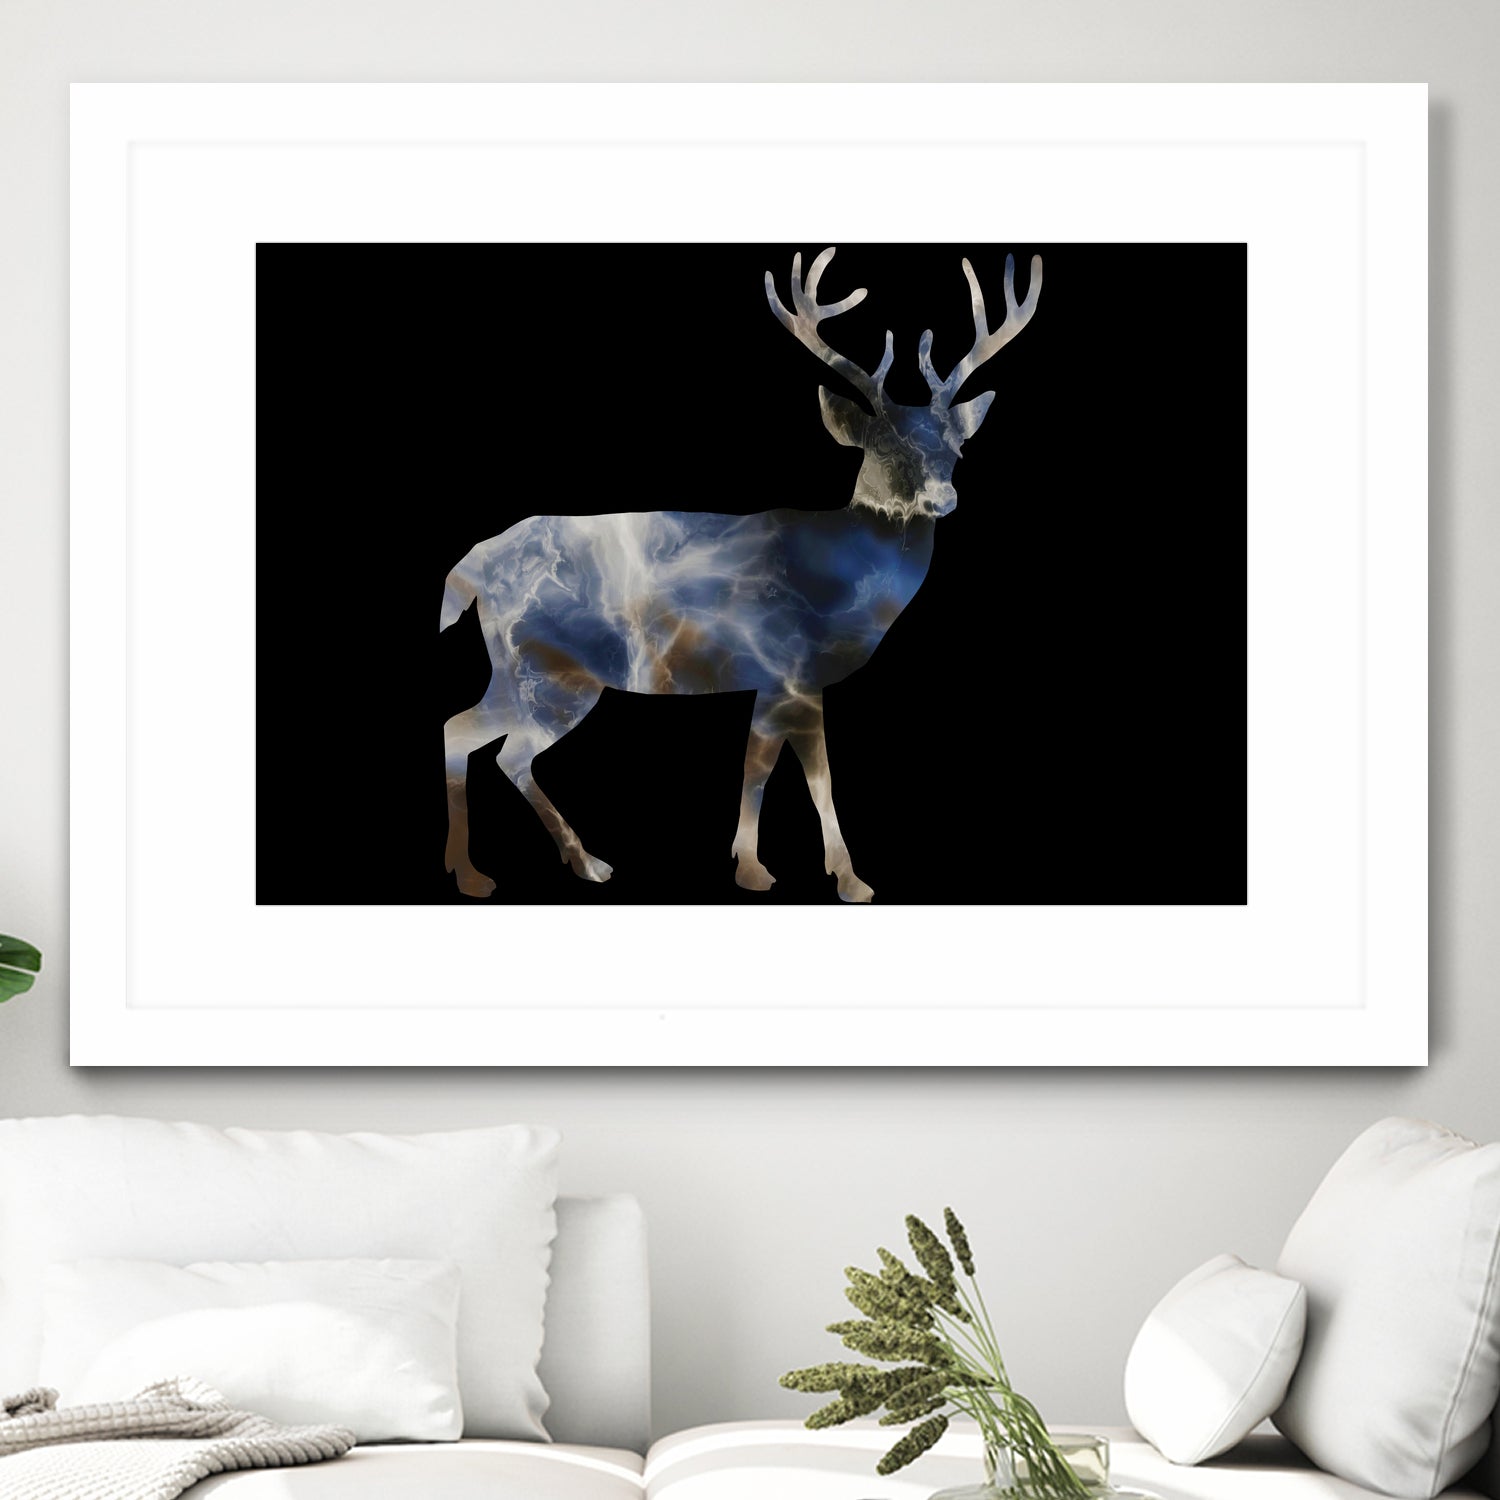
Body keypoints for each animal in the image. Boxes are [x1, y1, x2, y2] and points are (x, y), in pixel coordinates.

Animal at [439, 247, 1042, 902]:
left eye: (957, 449)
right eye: (884, 447)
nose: (943, 497)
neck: (842, 581)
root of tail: (474, 566)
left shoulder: (774, 680)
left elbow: (760, 767)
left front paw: (755, 864)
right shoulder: (792, 669)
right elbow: (806, 776)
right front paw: (837, 877)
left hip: (517, 668)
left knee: (465, 731)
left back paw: (513, 866)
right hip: (552, 671)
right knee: (503, 749)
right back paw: (537, 867)